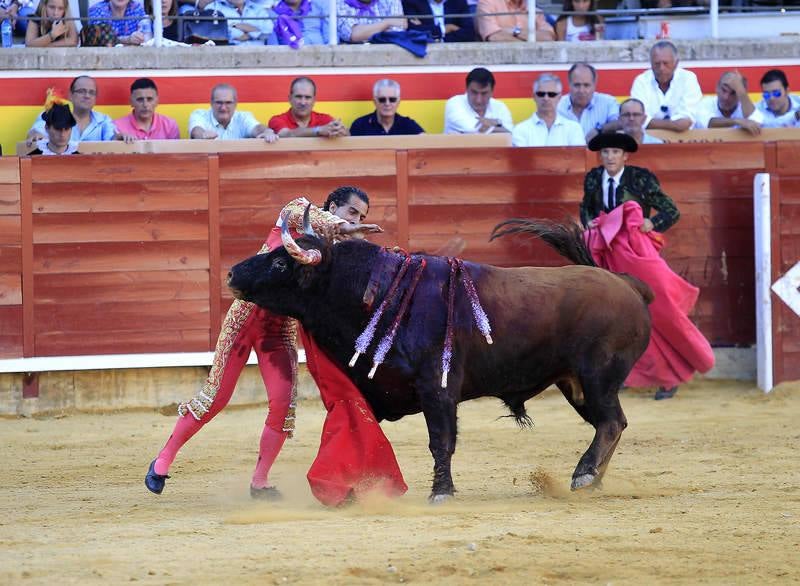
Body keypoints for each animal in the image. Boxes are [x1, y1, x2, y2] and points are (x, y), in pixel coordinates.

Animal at [228, 216, 652, 502]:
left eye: (280, 262)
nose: (232, 273)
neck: (377, 295)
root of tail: (626, 283)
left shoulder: (438, 388)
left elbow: (441, 441)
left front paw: (441, 491)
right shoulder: (374, 391)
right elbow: (359, 433)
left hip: (596, 377)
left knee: (611, 422)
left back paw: (584, 475)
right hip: (573, 383)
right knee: (612, 424)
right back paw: (593, 478)